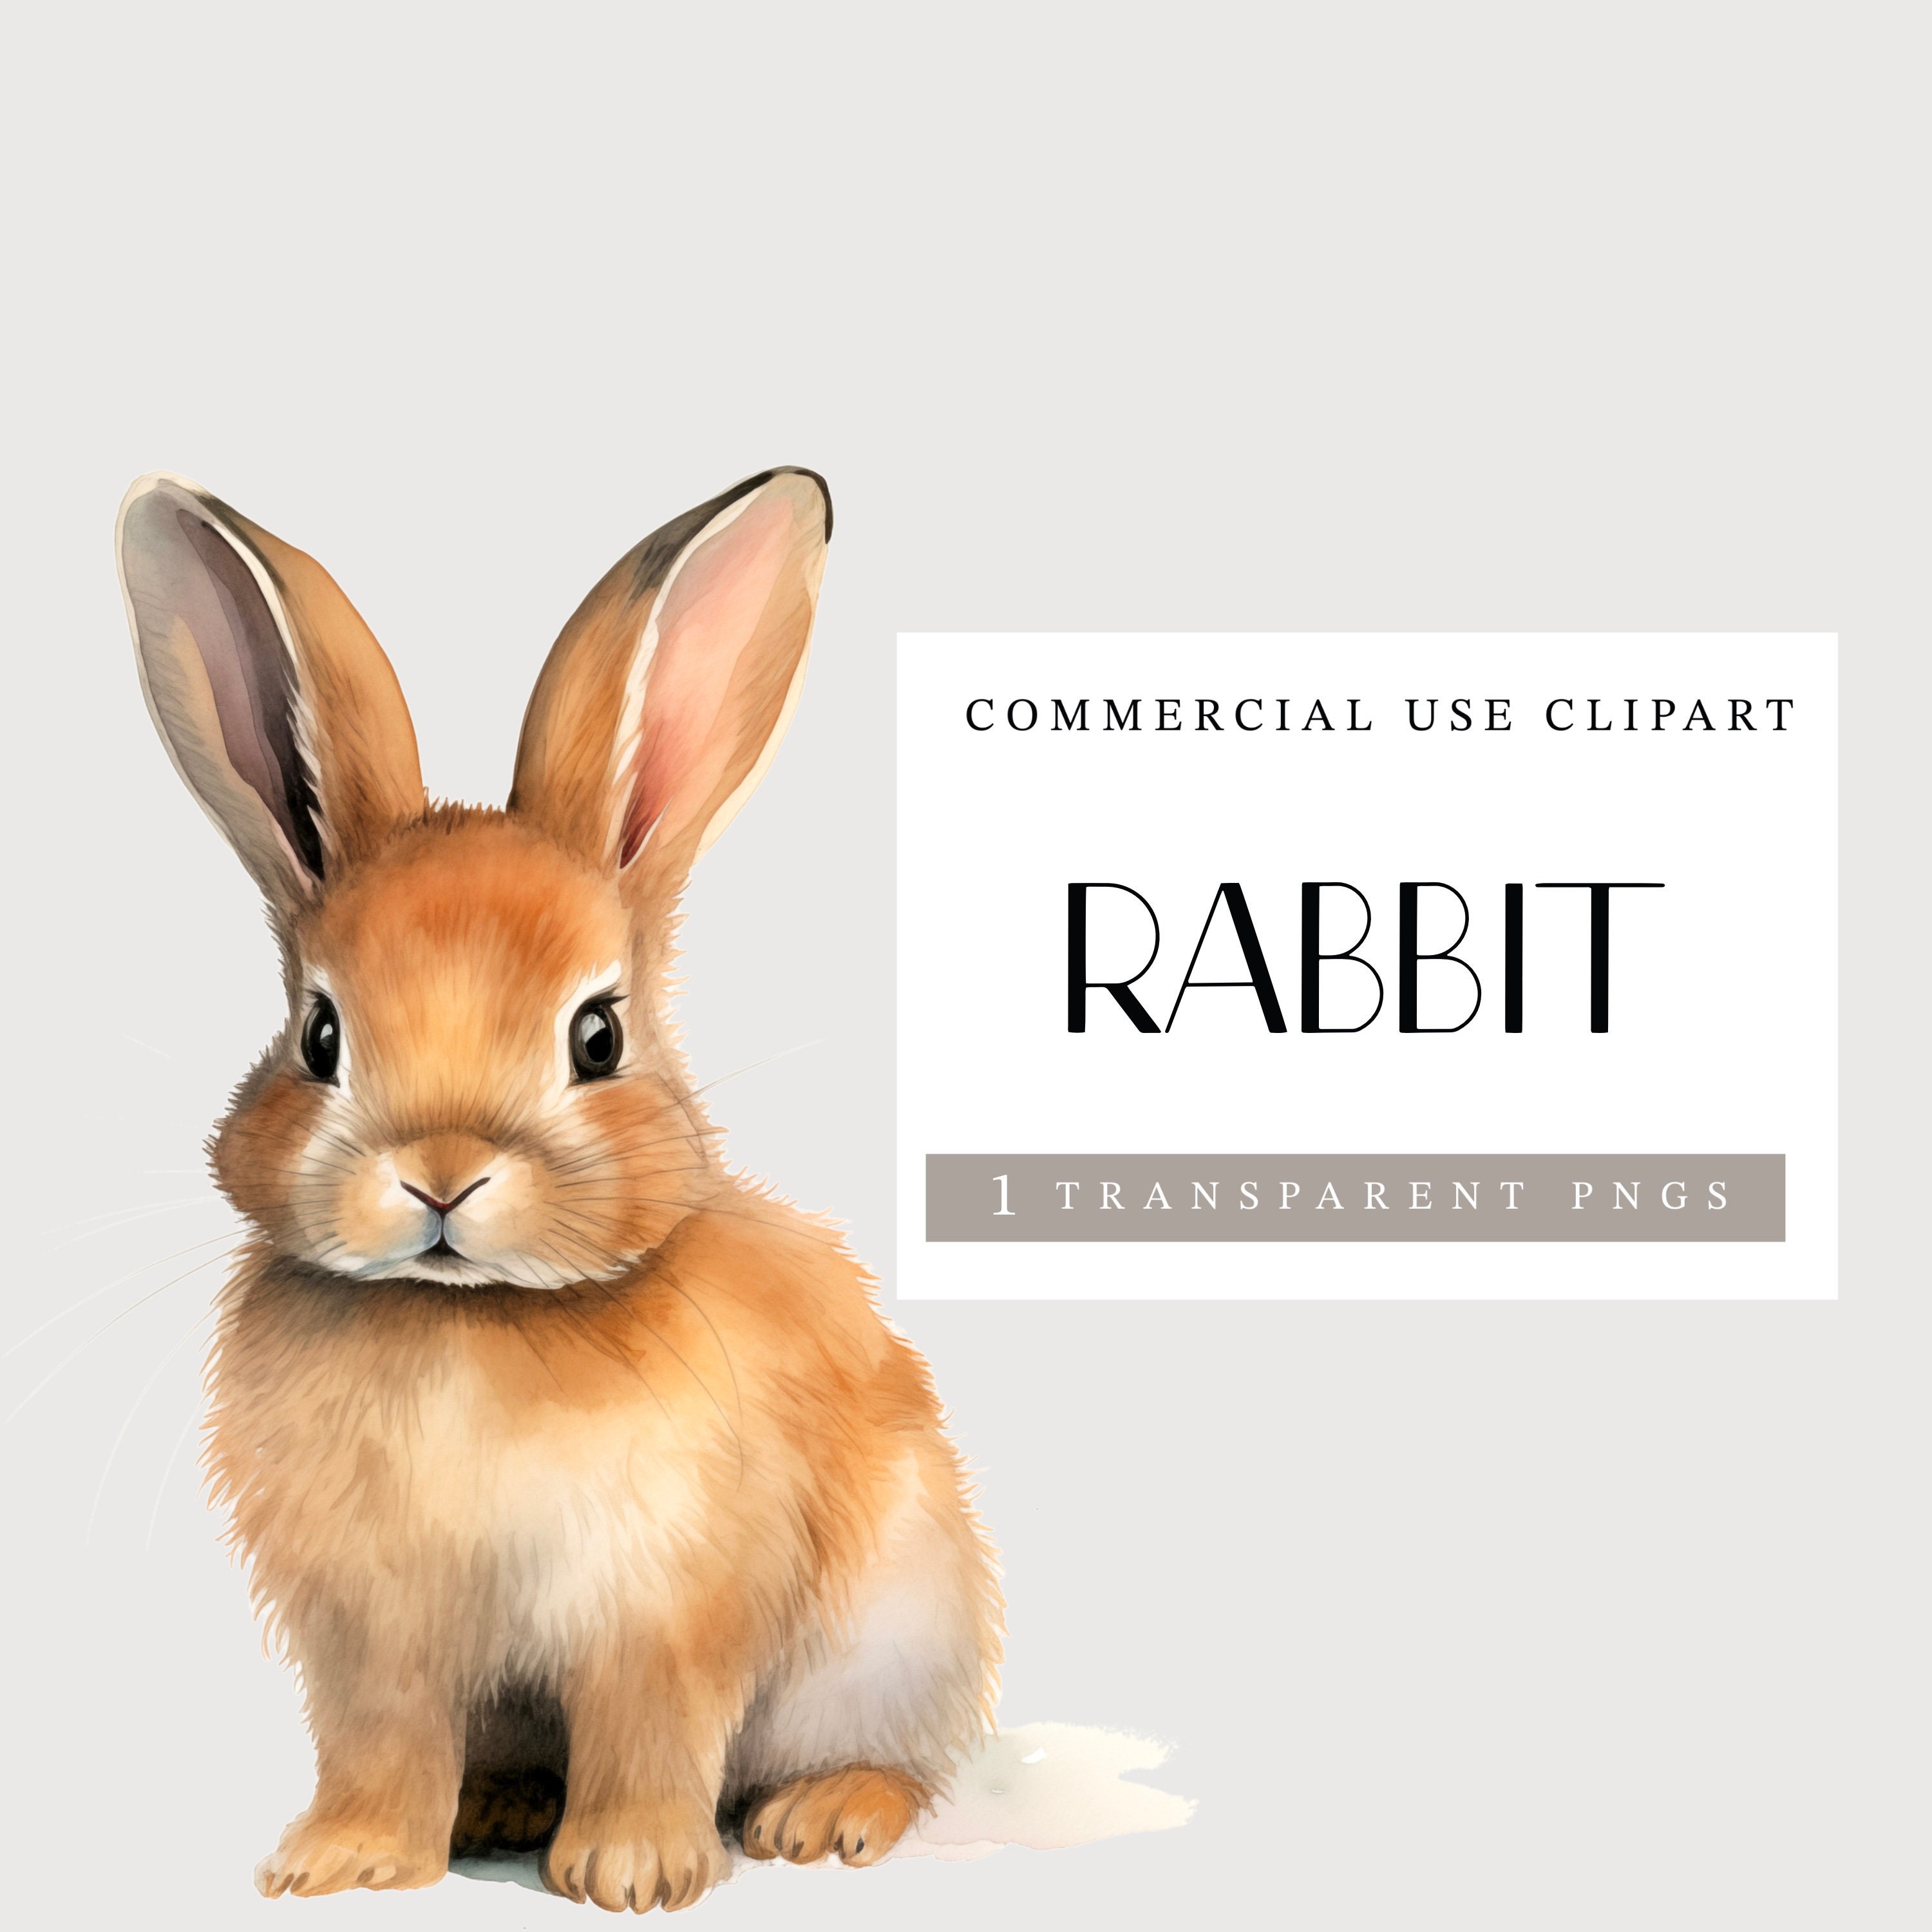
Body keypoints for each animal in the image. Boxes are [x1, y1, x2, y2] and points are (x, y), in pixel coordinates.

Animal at [117, 467, 1002, 1912]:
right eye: (320, 1036)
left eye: (598, 1037)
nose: (439, 1177)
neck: (471, 1317)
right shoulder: (370, 1633)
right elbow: (380, 1738)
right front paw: (345, 1863)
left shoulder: (664, 1609)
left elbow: (651, 1728)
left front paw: (632, 1874)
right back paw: (496, 1806)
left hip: (894, 1635)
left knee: (889, 1760)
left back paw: (820, 1819)